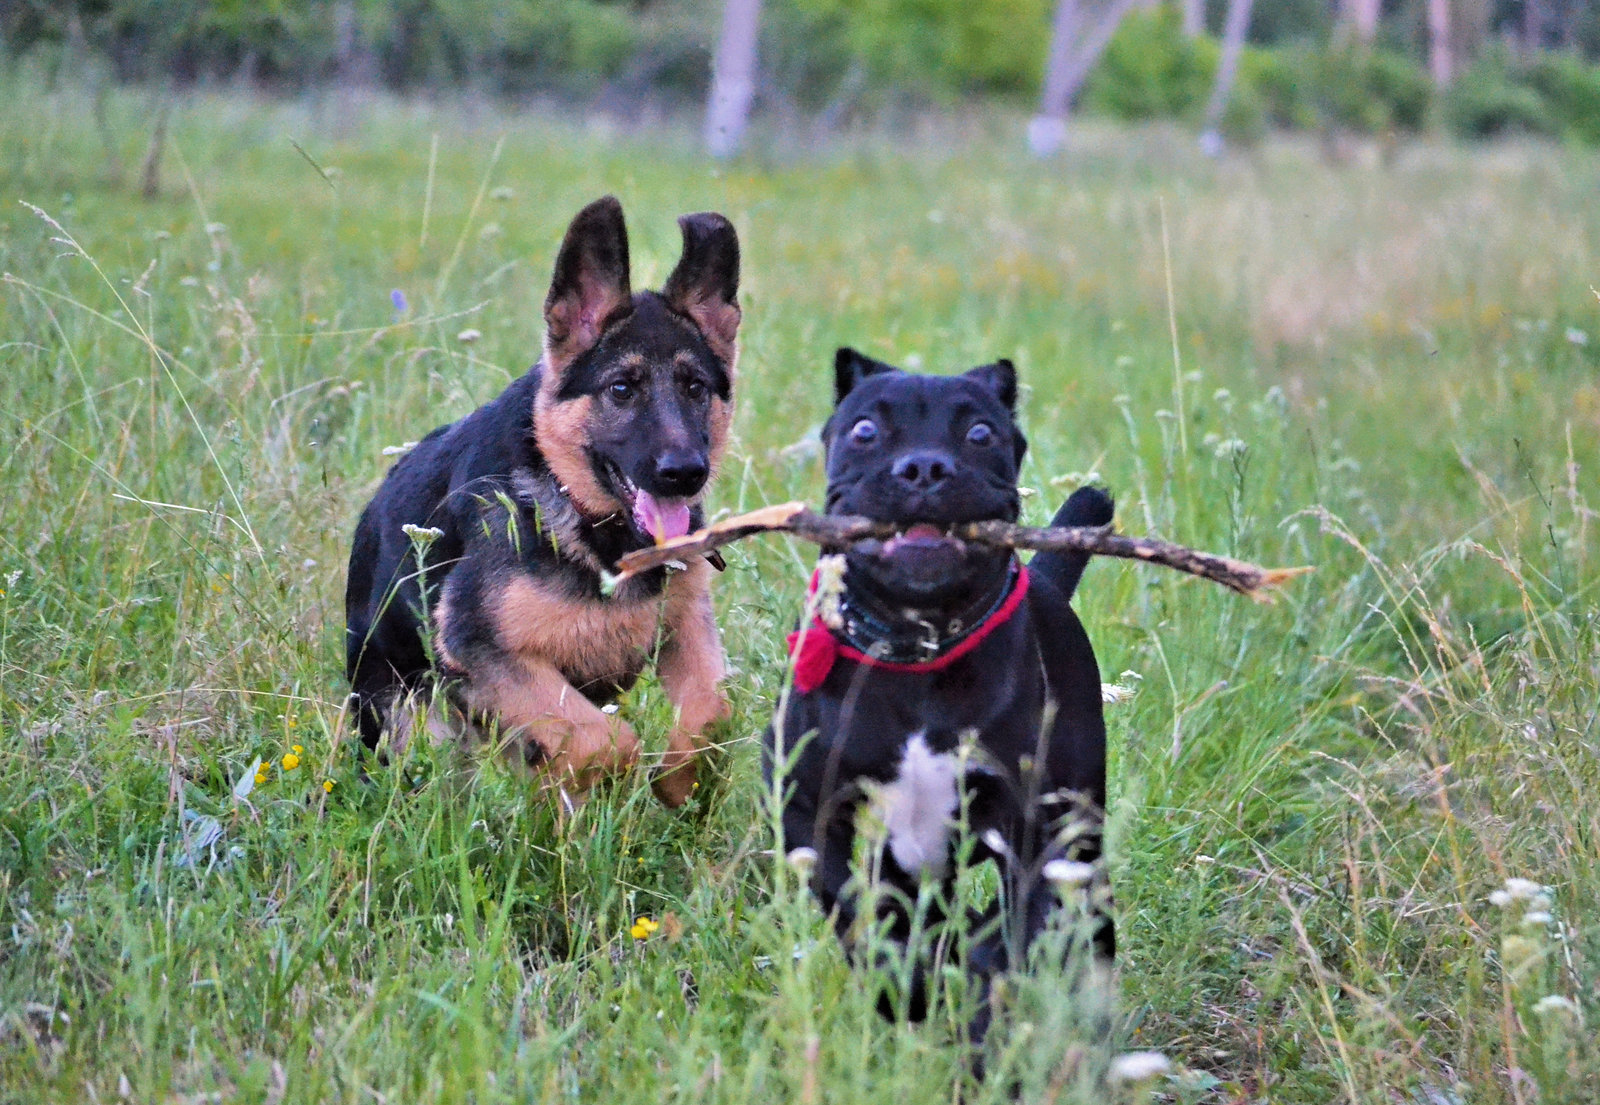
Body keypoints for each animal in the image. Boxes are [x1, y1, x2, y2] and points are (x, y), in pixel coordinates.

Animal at [347, 196, 739, 802]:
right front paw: (613, 783)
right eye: (621, 389)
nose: (685, 474)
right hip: (419, 722)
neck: (583, 518)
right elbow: (606, 741)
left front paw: (678, 787)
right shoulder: (483, 651)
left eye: (695, 387)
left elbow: (708, 717)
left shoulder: (686, 628)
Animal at [764, 350, 1113, 1042]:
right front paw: (903, 990)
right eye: (865, 430)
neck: (919, 650)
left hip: (1080, 832)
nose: (924, 467)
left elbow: (1015, 941)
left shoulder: (1035, 833)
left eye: (980, 433)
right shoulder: (808, 807)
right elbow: (855, 911)